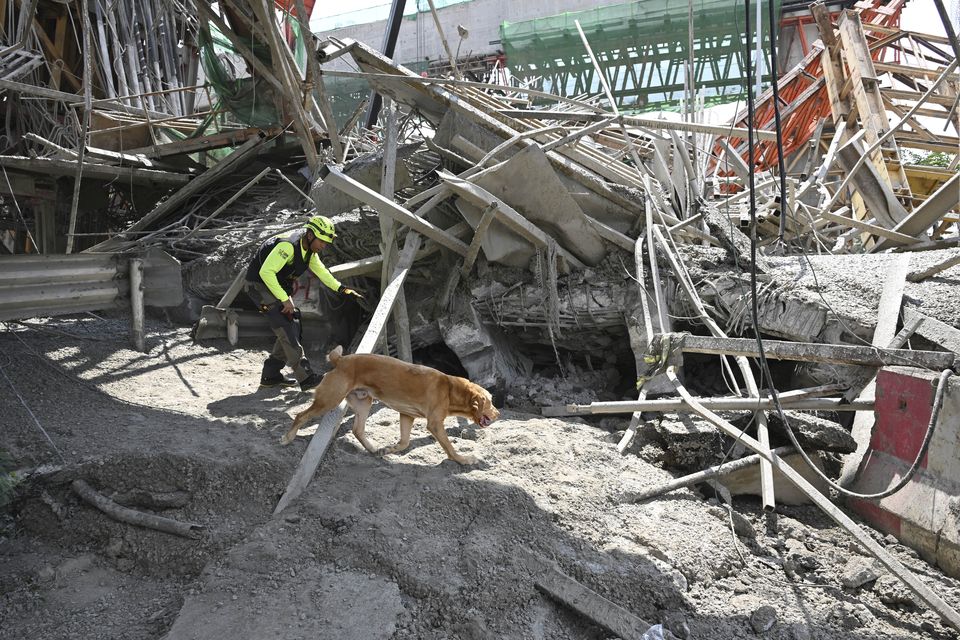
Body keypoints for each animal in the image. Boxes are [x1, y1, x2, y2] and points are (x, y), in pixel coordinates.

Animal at [282, 344, 498, 464]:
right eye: (490, 401)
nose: (499, 414)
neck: (450, 388)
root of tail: (341, 359)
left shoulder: (407, 415)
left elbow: (404, 443)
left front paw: (388, 449)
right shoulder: (435, 424)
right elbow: (450, 448)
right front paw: (464, 460)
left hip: (363, 402)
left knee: (357, 430)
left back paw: (374, 450)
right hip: (329, 400)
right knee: (301, 415)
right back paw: (287, 437)